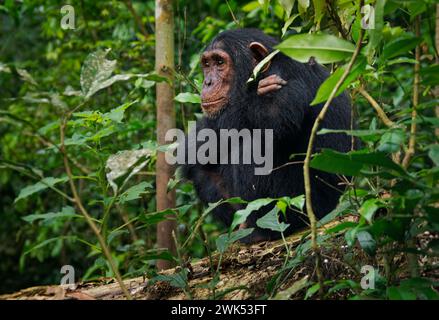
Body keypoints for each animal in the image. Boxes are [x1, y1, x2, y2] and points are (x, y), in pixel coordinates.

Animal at [182, 28, 354, 242]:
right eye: (207, 64)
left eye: (220, 62)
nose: (207, 82)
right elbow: (202, 144)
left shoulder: (284, 80)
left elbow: (273, 115)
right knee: (201, 170)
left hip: (298, 205)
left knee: (256, 143)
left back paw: (260, 233)